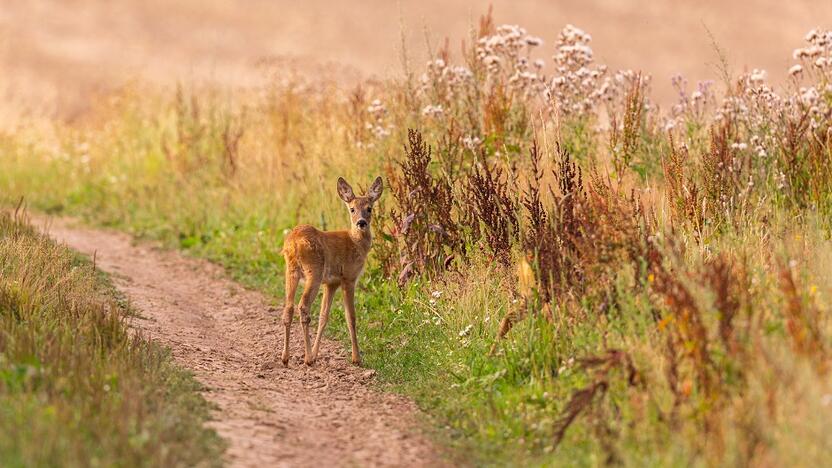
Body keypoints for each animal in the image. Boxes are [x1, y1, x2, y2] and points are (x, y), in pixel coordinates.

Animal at [280, 176, 384, 366]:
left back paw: (286, 357)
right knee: (303, 306)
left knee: (288, 307)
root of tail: (293, 243)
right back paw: (307, 358)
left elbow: (324, 317)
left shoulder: (331, 283)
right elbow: (351, 317)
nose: (361, 222)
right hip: (314, 271)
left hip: (291, 272)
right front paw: (356, 358)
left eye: (369, 208)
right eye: (352, 209)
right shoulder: (348, 278)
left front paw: (316, 353)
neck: (355, 242)